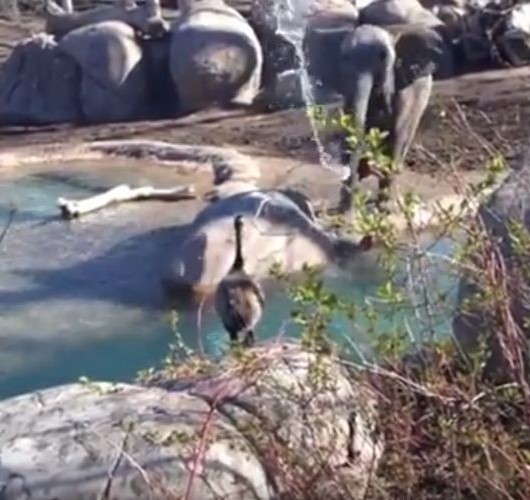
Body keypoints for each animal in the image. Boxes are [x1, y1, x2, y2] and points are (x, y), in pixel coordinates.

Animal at [304, 21, 444, 213]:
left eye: (383, 56)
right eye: (345, 58)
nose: (346, 208)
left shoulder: (405, 90)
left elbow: (396, 134)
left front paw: (384, 208)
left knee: (403, 140)